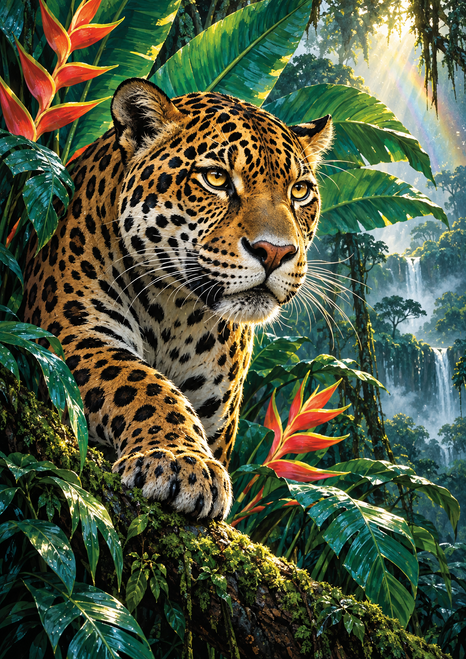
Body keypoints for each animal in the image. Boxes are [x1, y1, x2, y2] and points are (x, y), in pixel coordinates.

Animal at [24, 78, 333, 521]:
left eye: (300, 191)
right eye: (216, 178)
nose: (275, 252)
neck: (175, 310)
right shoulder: (71, 337)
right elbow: (141, 383)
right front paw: (178, 462)